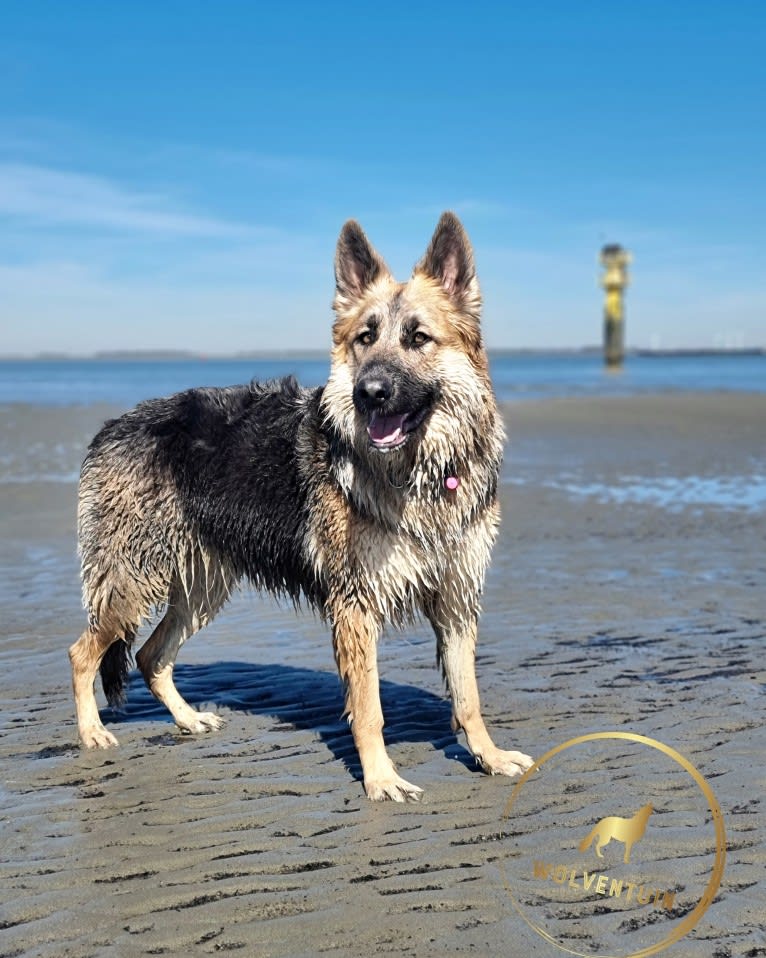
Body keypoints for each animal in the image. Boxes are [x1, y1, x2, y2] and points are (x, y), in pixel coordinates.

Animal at [72, 212, 536, 804]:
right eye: (365, 338)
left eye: (418, 338)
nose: (370, 392)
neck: (417, 473)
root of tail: (111, 427)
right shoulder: (355, 605)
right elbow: (369, 708)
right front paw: (380, 778)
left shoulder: (456, 599)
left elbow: (469, 697)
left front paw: (488, 756)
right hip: (134, 583)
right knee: (83, 653)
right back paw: (91, 732)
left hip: (201, 589)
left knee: (150, 656)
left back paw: (188, 720)